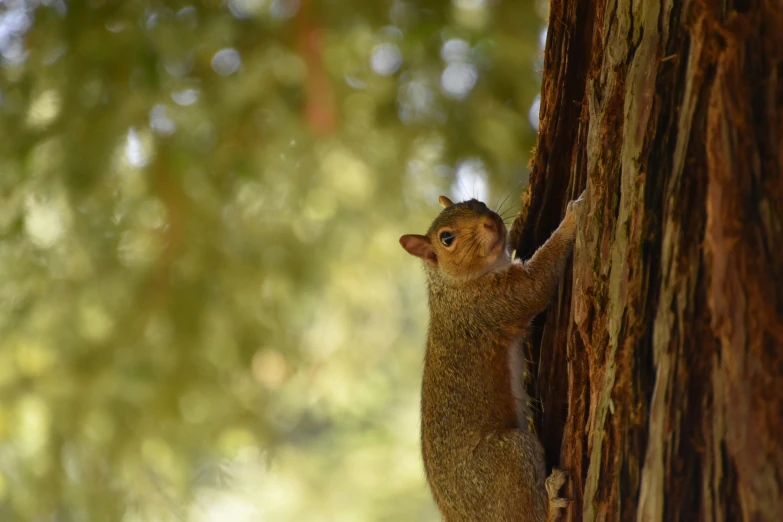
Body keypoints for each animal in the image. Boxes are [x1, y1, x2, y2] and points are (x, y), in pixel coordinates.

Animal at [402, 191, 584, 520]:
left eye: (476, 202)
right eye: (446, 238)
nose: (490, 222)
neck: (452, 286)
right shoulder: (490, 305)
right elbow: (536, 284)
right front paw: (572, 218)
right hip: (510, 455)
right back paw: (552, 501)